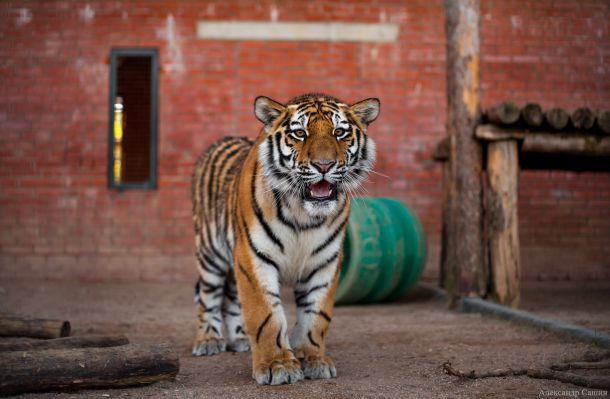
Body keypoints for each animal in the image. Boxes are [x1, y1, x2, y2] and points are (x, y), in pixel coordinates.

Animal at [192, 92, 378, 386]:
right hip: (211, 255)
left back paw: (239, 339)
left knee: (230, 298)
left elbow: (316, 316)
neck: (304, 216)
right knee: (207, 298)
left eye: (339, 132)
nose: (324, 165)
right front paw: (277, 365)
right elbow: (265, 315)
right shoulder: (254, 257)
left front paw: (312, 359)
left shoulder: (325, 263)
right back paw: (209, 340)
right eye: (300, 133)